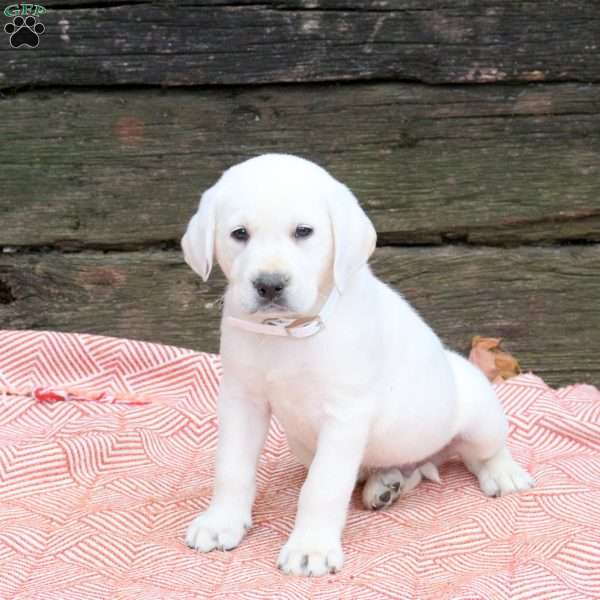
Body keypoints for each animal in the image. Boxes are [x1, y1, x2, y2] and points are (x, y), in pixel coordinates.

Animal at [180, 154, 532, 576]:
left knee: (482, 452)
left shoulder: (344, 415)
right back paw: (386, 485)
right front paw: (221, 522)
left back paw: (502, 472)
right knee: (397, 468)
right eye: (239, 234)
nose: (269, 284)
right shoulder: (241, 401)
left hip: (479, 414)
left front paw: (310, 547)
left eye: (304, 231)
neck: (287, 333)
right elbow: (232, 468)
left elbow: (323, 486)